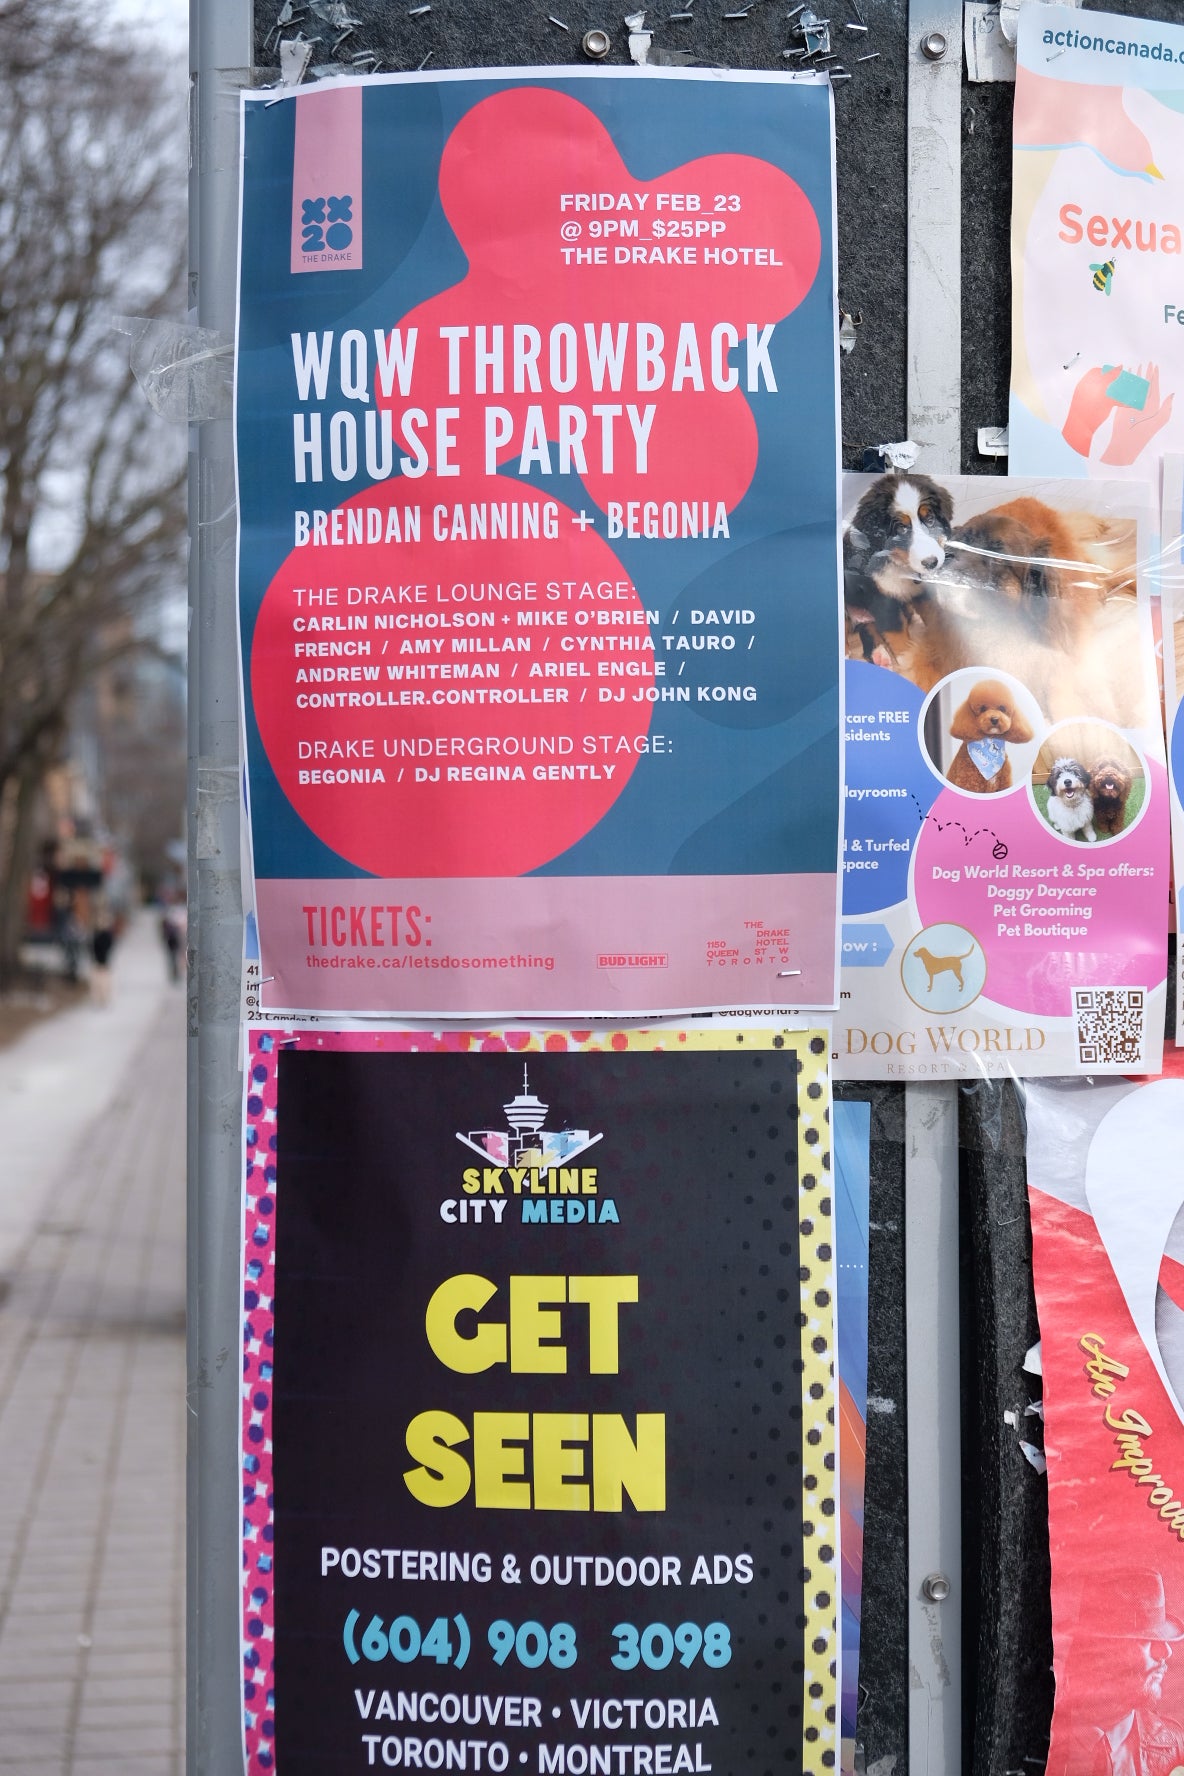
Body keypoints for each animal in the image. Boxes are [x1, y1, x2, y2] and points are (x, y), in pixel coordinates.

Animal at [848, 472, 958, 667]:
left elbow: (934, 616)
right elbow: (895, 629)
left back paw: (881, 656)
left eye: (930, 519)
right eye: (901, 528)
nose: (931, 562)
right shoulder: (882, 597)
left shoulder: (922, 592)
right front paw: (908, 658)